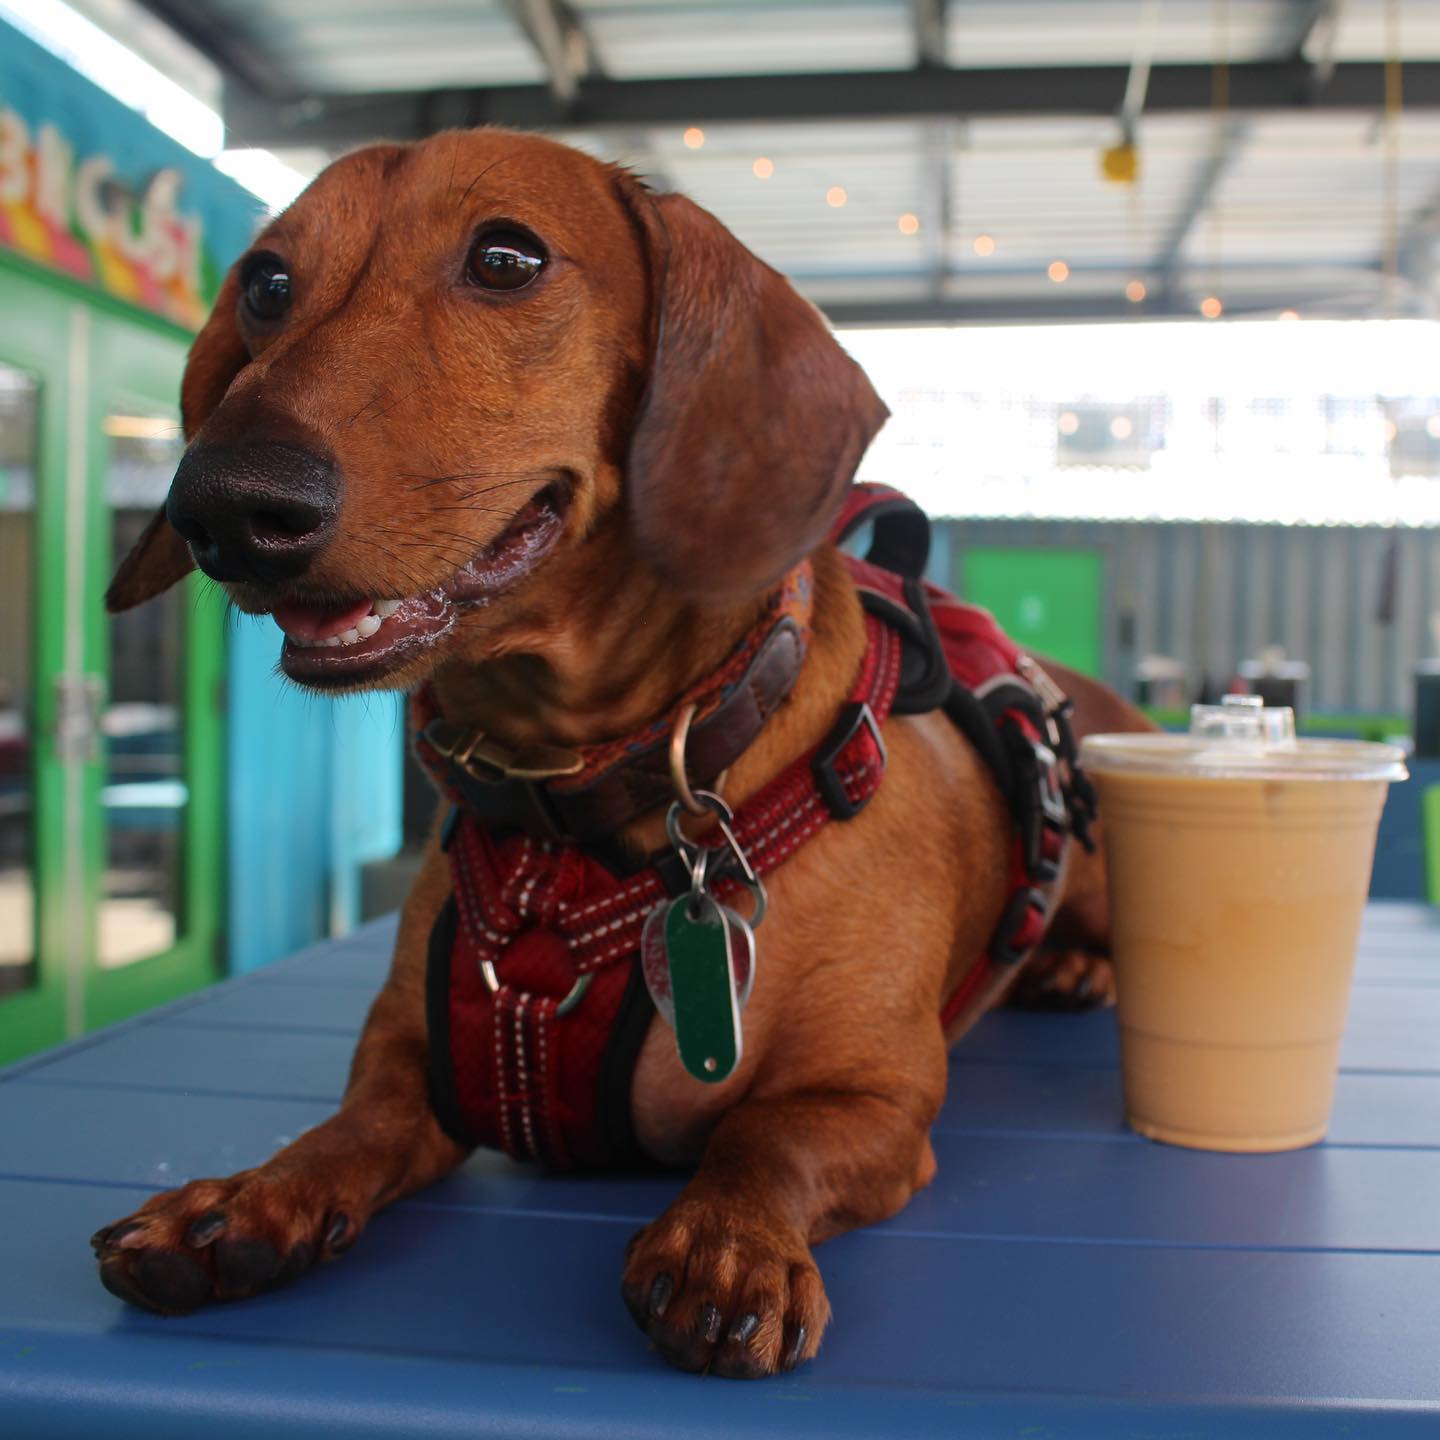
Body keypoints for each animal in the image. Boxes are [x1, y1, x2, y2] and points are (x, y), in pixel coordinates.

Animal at [92, 129, 1146, 1376]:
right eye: (264, 283)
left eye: (506, 258)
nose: (219, 506)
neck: (568, 815)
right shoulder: (412, 1077)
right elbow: (342, 1135)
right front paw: (246, 1198)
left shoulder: (871, 1102)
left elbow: (765, 1142)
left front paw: (729, 1240)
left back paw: (1078, 967)